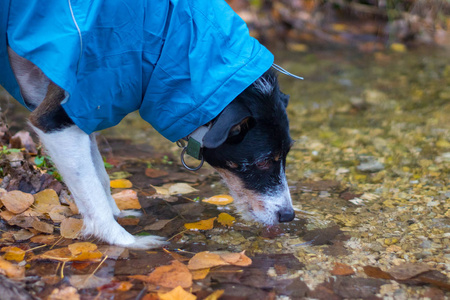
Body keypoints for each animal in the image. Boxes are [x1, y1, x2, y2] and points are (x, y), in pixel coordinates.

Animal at [0, 0, 296, 248]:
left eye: (284, 158)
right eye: (263, 162)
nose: (289, 216)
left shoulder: (86, 116)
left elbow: (101, 176)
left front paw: (119, 213)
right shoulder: (56, 121)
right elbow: (92, 191)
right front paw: (125, 240)